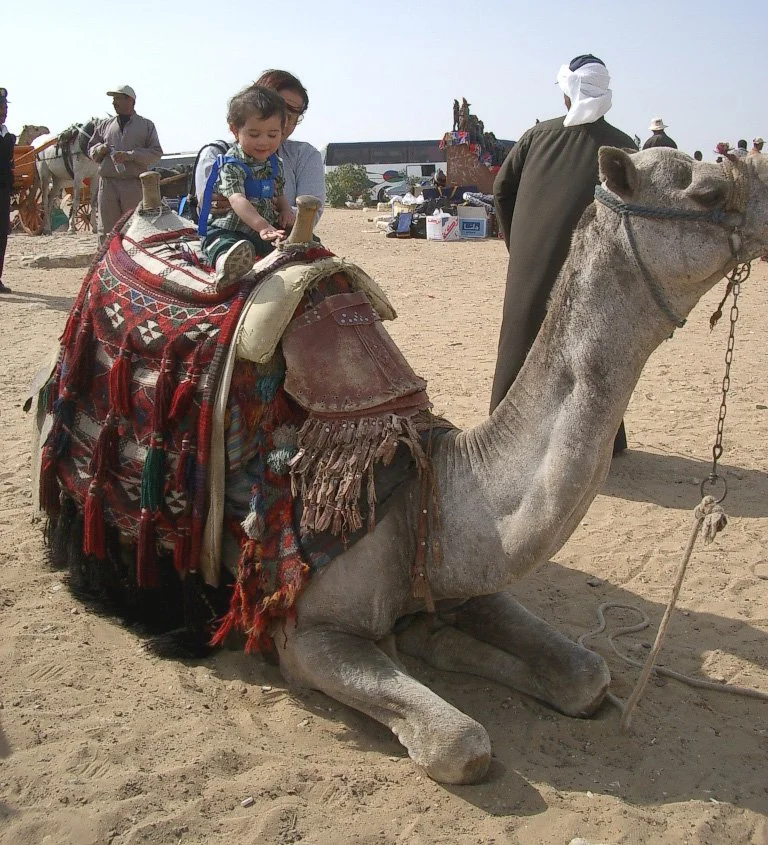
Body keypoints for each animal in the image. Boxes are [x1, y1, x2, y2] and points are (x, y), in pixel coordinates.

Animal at [31, 149, 768, 785]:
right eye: (706, 190)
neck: (434, 487)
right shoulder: (307, 635)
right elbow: (460, 743)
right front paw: (426, 656)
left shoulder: (459, 574)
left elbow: (586, 676)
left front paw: (436, 639)